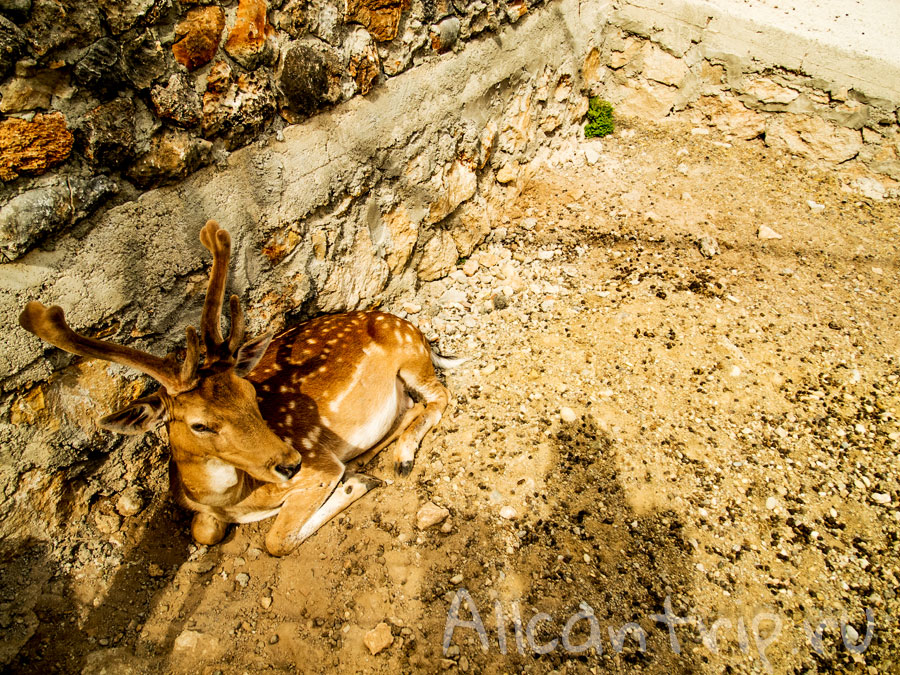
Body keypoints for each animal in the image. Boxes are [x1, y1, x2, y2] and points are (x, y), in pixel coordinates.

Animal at [19, 220, 462, 556]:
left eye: (252, 396)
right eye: (199, 424)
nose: (289, 464)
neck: (234, 500)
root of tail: (416, 332)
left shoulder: (319, 468)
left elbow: (276, 540)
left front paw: (357, 481)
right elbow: (204, 532)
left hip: (410, 359)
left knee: (440, 396)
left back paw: (400, 459)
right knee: (414, 407)